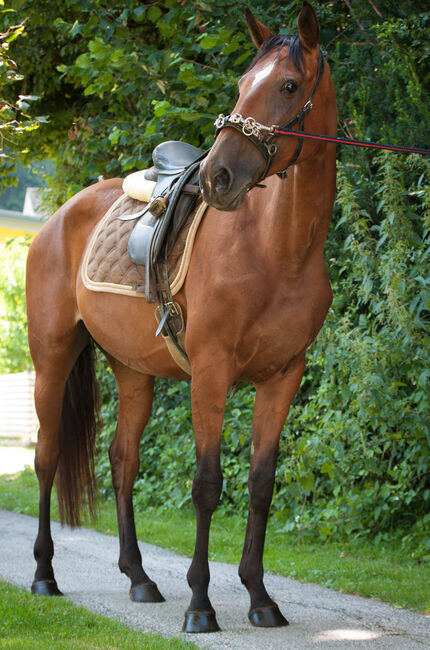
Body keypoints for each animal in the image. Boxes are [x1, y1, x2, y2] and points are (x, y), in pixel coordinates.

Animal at [26, 1, 336, 632]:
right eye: (242, 84)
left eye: (289, 86)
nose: (218, 177)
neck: (278, 248)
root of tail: (60, 215)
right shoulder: (211, 373)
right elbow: (207, 484)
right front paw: (201, 604)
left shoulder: (283, 378)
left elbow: (260, 485)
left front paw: (260, 598)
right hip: (51, 359)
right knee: (47, 458)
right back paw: (45, 575)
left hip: (133, 371)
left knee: (123, 461)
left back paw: (139, 578)